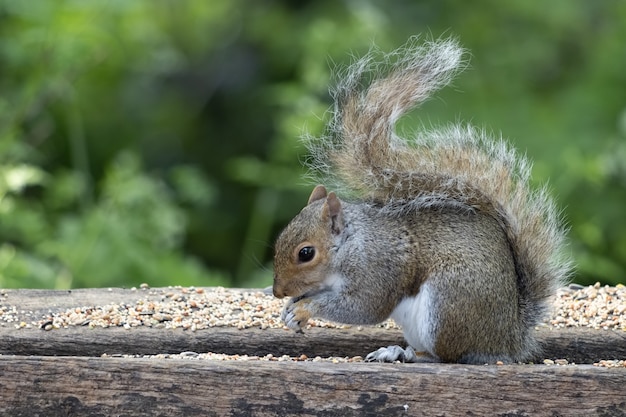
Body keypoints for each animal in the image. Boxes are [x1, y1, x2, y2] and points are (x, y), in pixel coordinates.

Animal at [270, 37, 568, 362]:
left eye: (306, 253)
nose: (277, 291)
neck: (351, 246)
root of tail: (508, 340)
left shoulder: (379, 269)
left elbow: (363, 308)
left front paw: (304, 308)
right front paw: (290, 311)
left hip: (447, 304)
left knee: (447, 356)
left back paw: (404, 354)